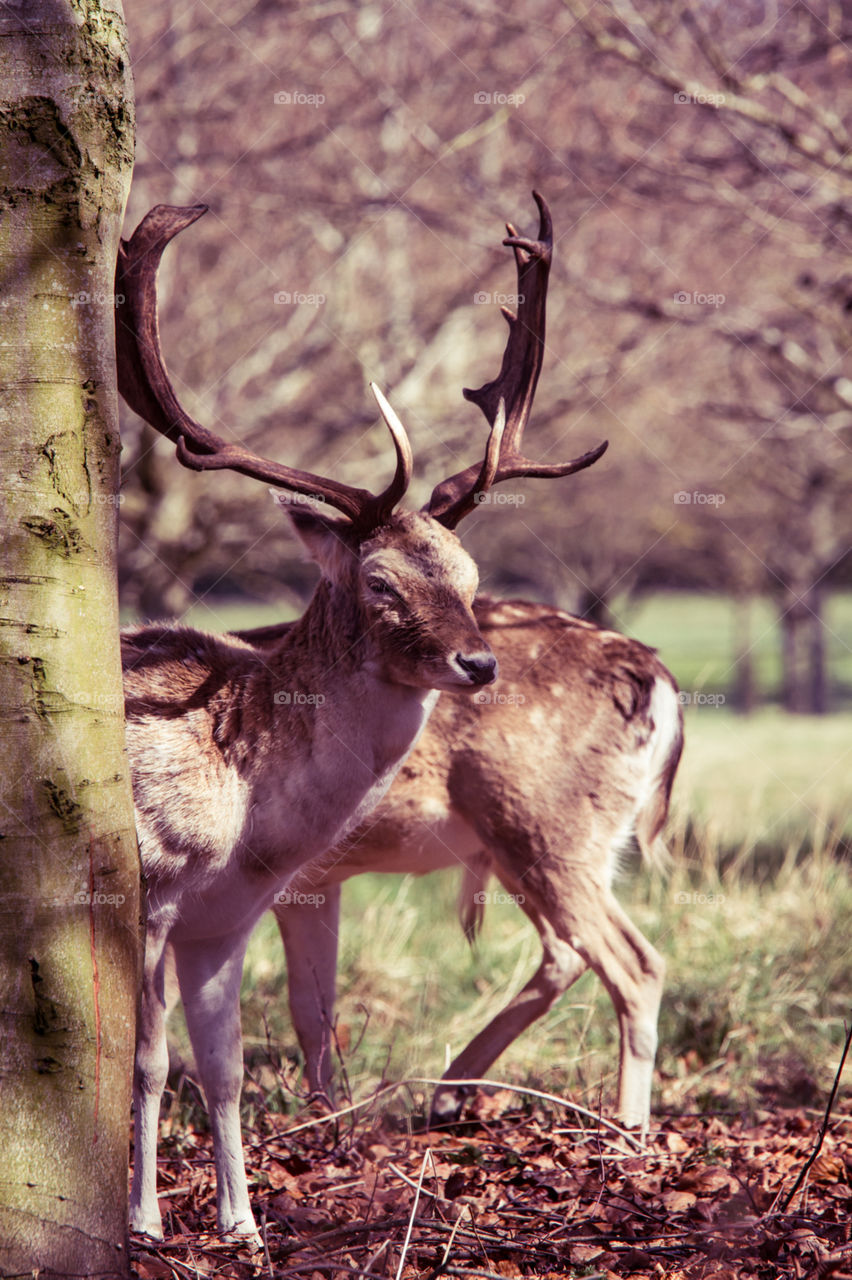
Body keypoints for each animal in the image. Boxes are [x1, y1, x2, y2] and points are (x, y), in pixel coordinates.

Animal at [116, 192, 603, 1239]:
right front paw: (143, 1223)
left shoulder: (229, 917)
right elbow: (148, 1062)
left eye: (469, 574)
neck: (244, 819)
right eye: (379, 582)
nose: (478, 661)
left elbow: (219, 1068)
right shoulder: (150, 889)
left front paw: (241, 1223)